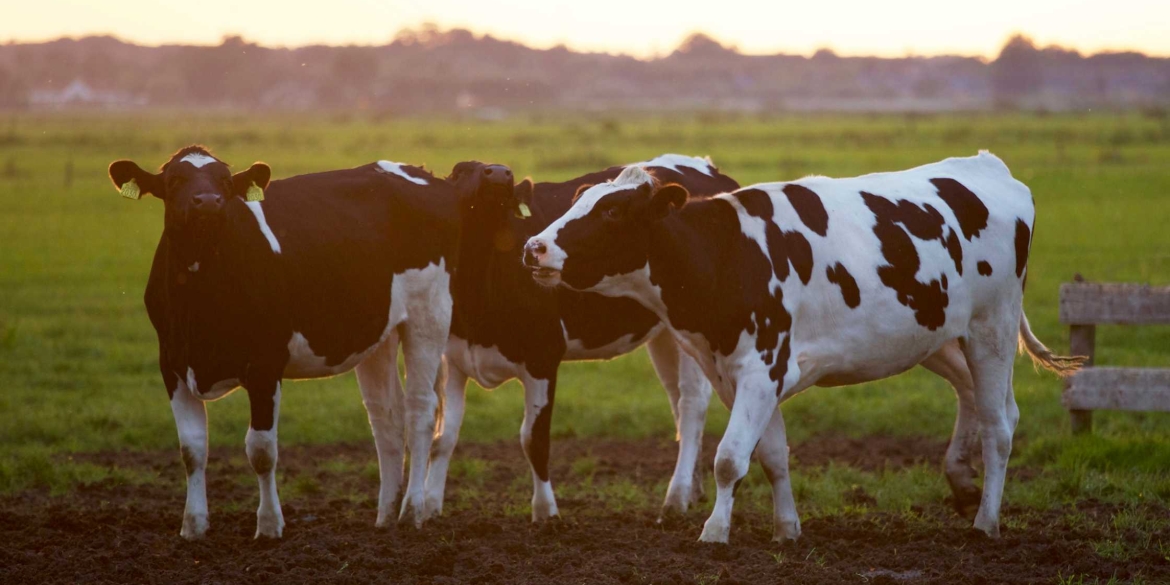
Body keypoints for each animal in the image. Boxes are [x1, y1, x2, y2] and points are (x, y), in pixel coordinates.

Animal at [108, 147, 507, 538]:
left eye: (225, 181)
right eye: (174, 180)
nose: (208, 202)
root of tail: (424, 174)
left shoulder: (265, 365)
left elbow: (261, 449)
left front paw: (269, 525)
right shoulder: (172, 364)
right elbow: (191, 448)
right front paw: (193, 526)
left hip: (429, 314)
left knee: (420, 411)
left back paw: (412, 512)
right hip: (378, 332)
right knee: (386, 417)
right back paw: (385, 514)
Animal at [423, 155, 739, 521]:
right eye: (460, 171)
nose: (500, 173)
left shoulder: (543, 356)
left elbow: (534, 439)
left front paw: (546, 513)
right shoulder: (453, 358)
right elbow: (443, 437)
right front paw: (428, 508)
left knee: (691, 405)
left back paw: (676, 498)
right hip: (665, 333)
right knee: (676, 401)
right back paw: (693, 489)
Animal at [526, 152, 1081, 542]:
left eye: (612, 211)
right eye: (578, 200)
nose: (534, 247)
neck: (728, 254)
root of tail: (987, 166)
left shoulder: (761, 368)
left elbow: (729, 459)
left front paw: (714, 532)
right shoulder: (741, 374)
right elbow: (771, 455)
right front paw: (786, 528)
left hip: (992, 328)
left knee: (999, 425)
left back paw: (986, 521)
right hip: (937, 335)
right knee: (981, 400)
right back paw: (963, 484)